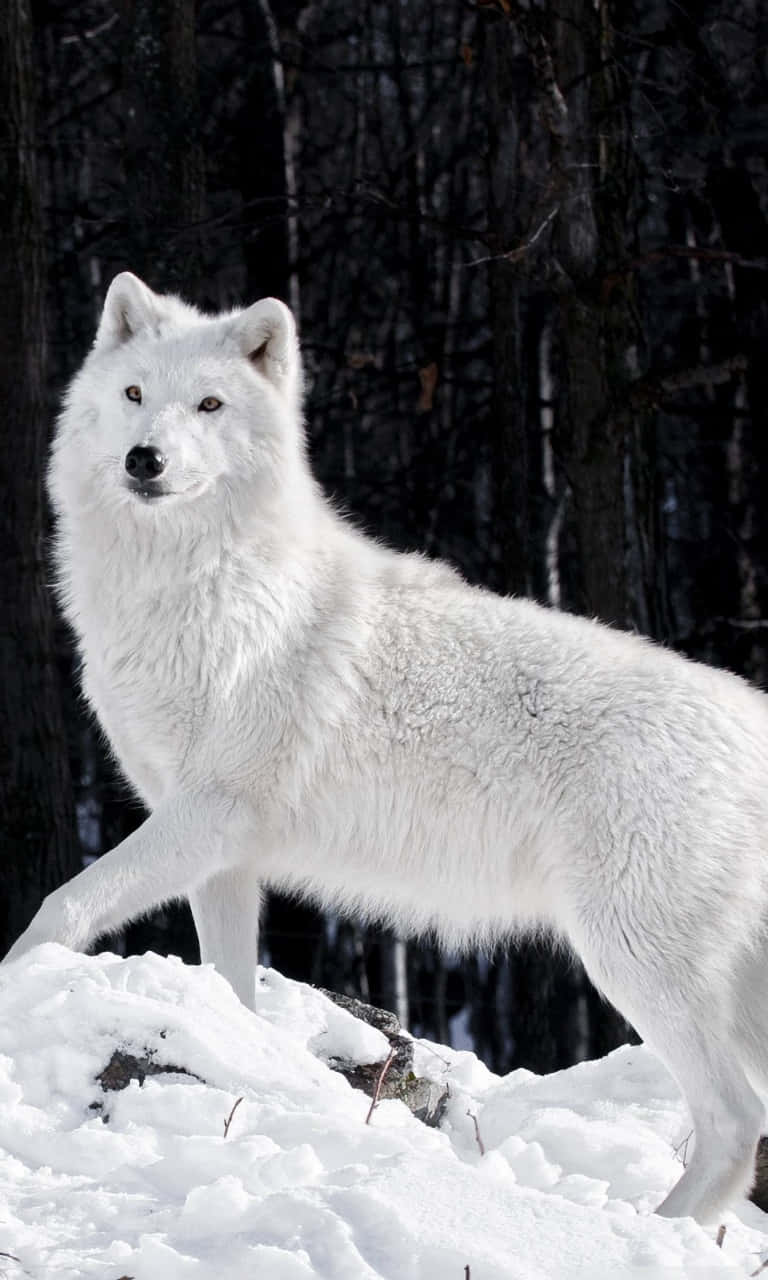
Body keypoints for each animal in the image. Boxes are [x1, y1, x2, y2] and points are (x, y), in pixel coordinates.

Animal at [5, 271, 768, 1224]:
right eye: (136, 395)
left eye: (210, 405)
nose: (145, 459)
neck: (193, 589)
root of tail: (755, 716)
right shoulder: (221, 855)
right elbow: (232, 989)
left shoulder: (207, 814)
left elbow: (59, 908)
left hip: (630, 957)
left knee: (736, 1120)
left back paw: (642, 1233)